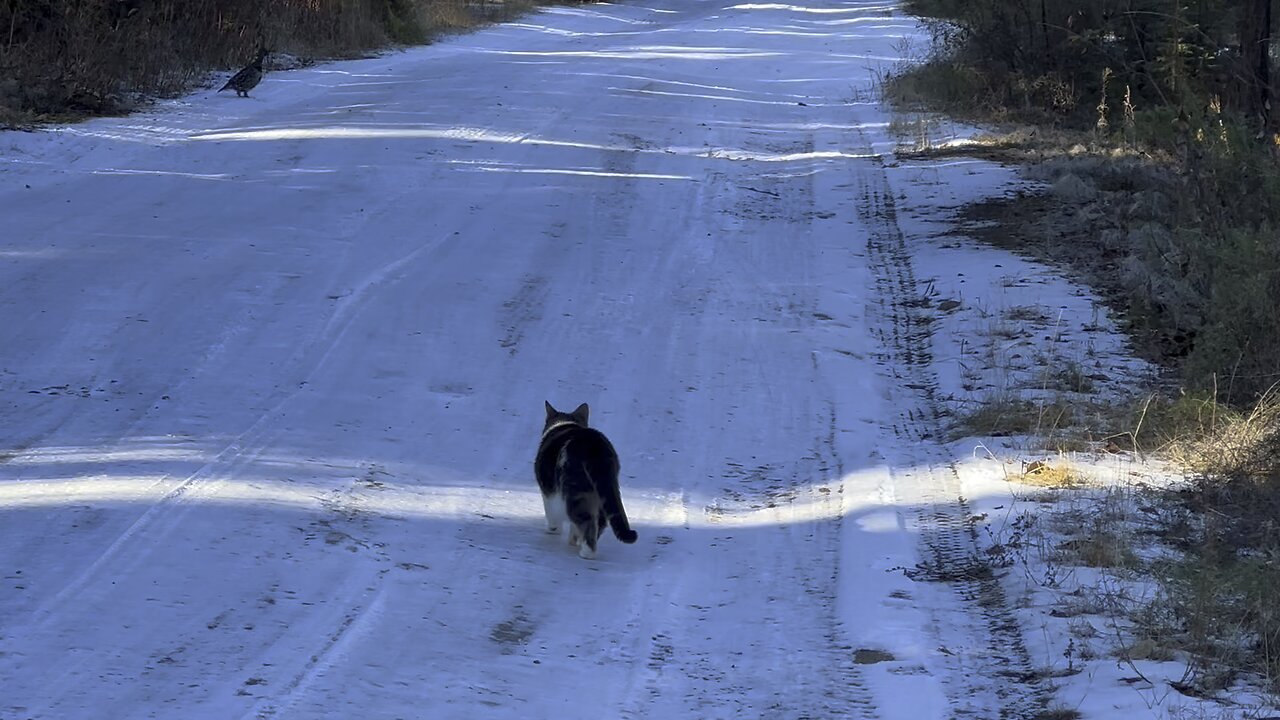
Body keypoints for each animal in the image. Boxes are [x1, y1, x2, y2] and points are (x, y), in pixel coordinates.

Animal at [535, 399, 640, 558]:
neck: (565, 423)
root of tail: (595, 448)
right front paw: (573, 538)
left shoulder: (548, 490)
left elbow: (551, 511)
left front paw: (553, 529)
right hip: (603, 492)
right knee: (600, 522)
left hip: (576, 490)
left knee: (586, 521)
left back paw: (587, 552)